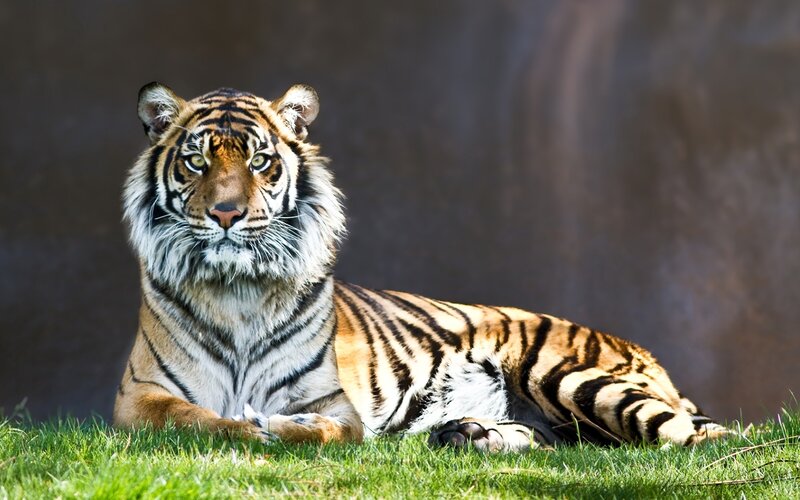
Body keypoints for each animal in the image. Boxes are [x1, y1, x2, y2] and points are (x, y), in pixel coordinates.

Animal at [113, 82, 731, 452]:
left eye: (260, 161)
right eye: (196, 161)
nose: (226, 213)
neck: (238, 290)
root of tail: (646, 355)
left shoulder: (334, 403)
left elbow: (323, 430)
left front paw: (277, 426)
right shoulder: (139, 399)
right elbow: (198, 420)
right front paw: (249, 427)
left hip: (574, 377)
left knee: (701, 440)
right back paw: (469, 433)